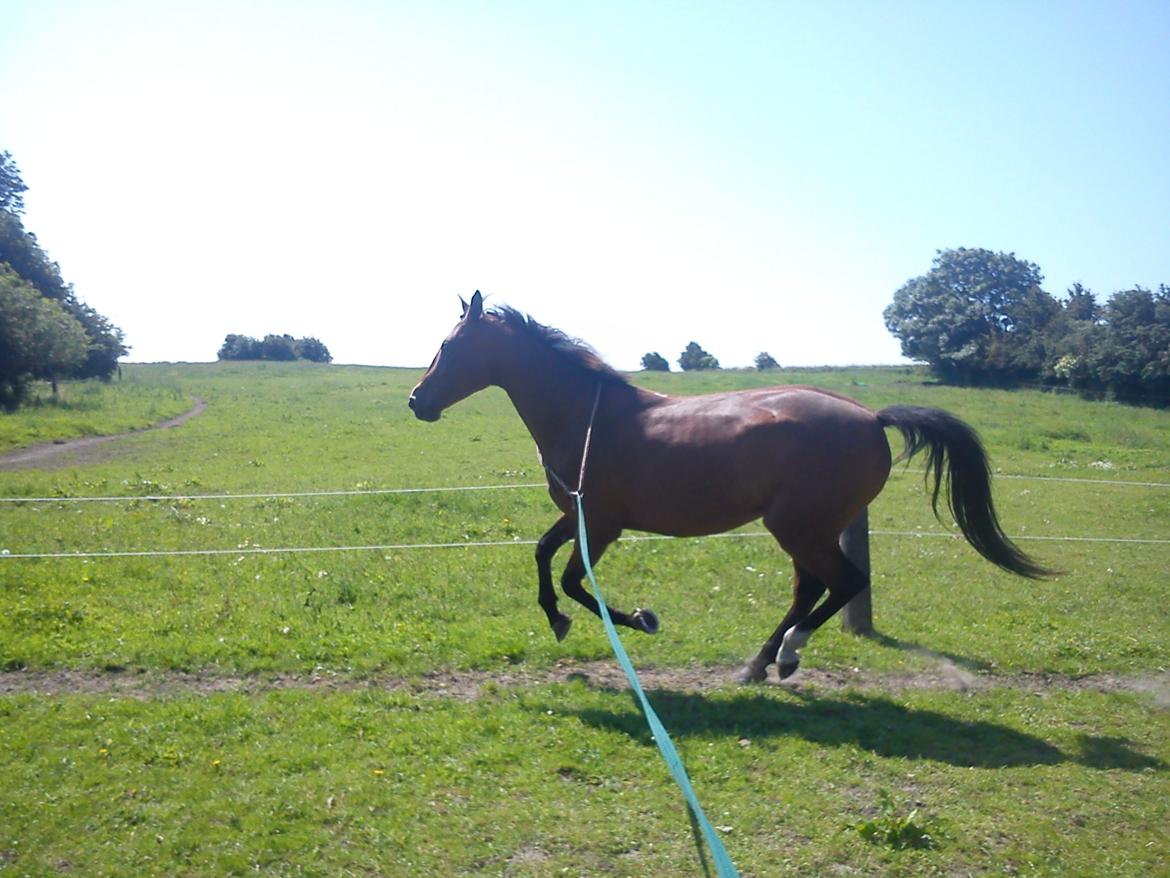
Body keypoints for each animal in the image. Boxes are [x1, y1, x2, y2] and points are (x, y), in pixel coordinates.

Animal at [411, 292, 1053, 683]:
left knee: (842, 583)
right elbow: (543, 555)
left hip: (799, 527)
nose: (418, 401)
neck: (591, 416)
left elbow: (572, 580)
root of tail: (873, 418)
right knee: (812, 588)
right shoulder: (578, 516)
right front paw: (558, 620)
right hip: (804, 530)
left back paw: (785, 654)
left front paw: (639, 618)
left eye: (449, 346)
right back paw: (761, 663)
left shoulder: (603, 522)